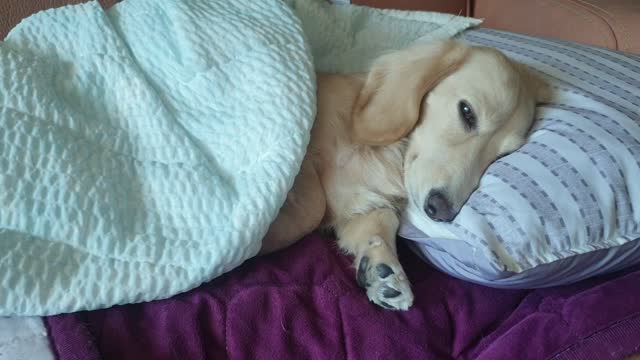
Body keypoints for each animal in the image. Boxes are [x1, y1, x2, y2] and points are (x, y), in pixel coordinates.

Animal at [258, 38, 544, 310]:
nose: (441, 211)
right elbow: (311, 208)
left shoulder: (361, 207)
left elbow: (379, 221)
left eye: (501, 156)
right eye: (466, 112)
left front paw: (383, 270)